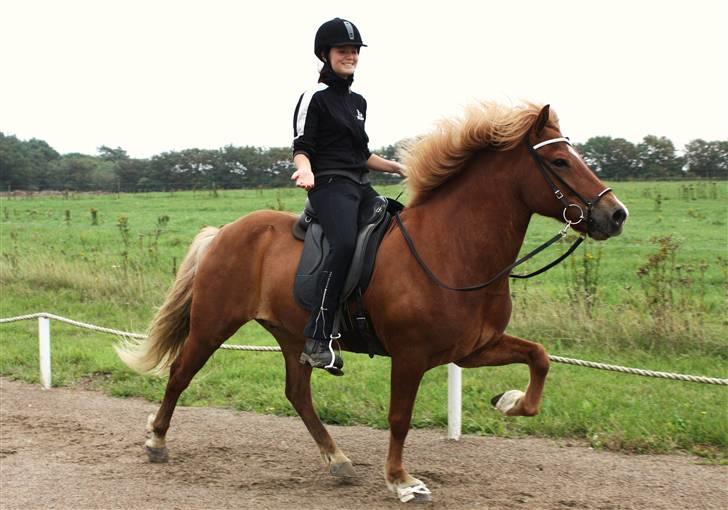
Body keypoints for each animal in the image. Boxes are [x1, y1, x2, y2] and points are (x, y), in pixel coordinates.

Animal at [116, 102, 628, 502]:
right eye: (560, 161)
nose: (616, 214)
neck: (451, 248)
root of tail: (224, 231)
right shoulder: (411, 355)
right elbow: (399, 418)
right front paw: (401, 480)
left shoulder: (474, 348)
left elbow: (539, 358)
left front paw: (509, 402)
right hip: (212, 324)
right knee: (180, 374)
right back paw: (156, 441)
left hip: (294, 335)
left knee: (297, 394)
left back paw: (337, 460)